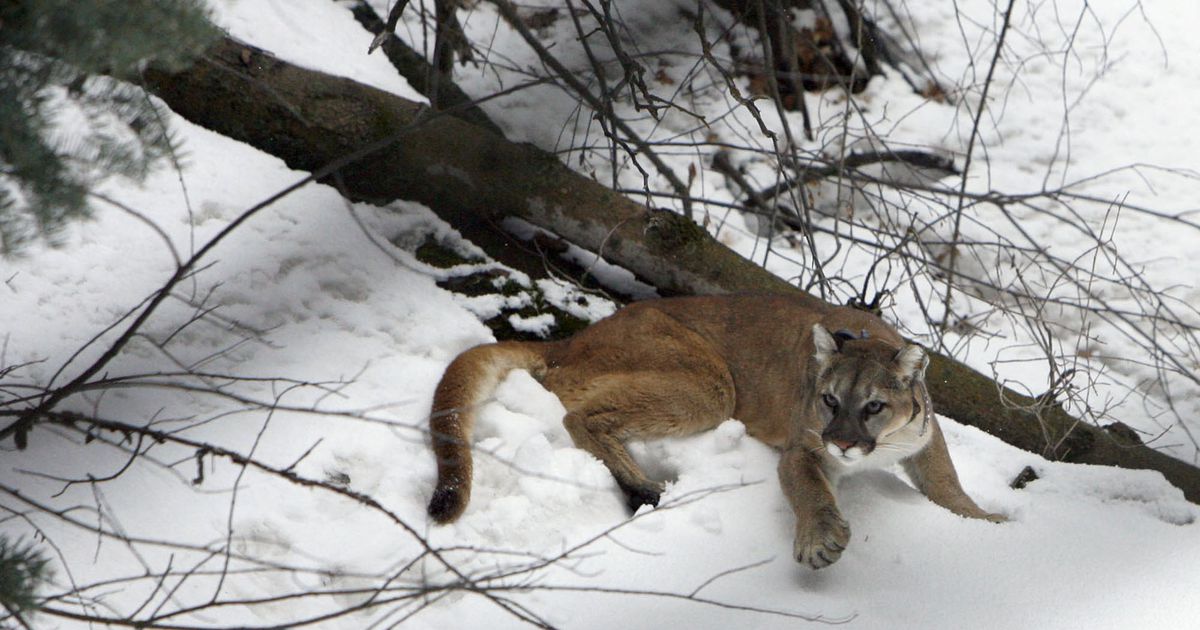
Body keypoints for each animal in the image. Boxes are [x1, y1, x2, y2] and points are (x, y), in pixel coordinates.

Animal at [422, 292, 1003, 566]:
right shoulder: (803, 448)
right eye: (829, 400)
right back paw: (644, 487)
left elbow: (947, 482)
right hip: (709, 383)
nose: (840, 441)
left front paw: (987, 522)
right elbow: (811, 491)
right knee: (578, 414)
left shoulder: (924, 438)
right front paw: (820, 541)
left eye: (875, 406)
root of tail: (577, 338)